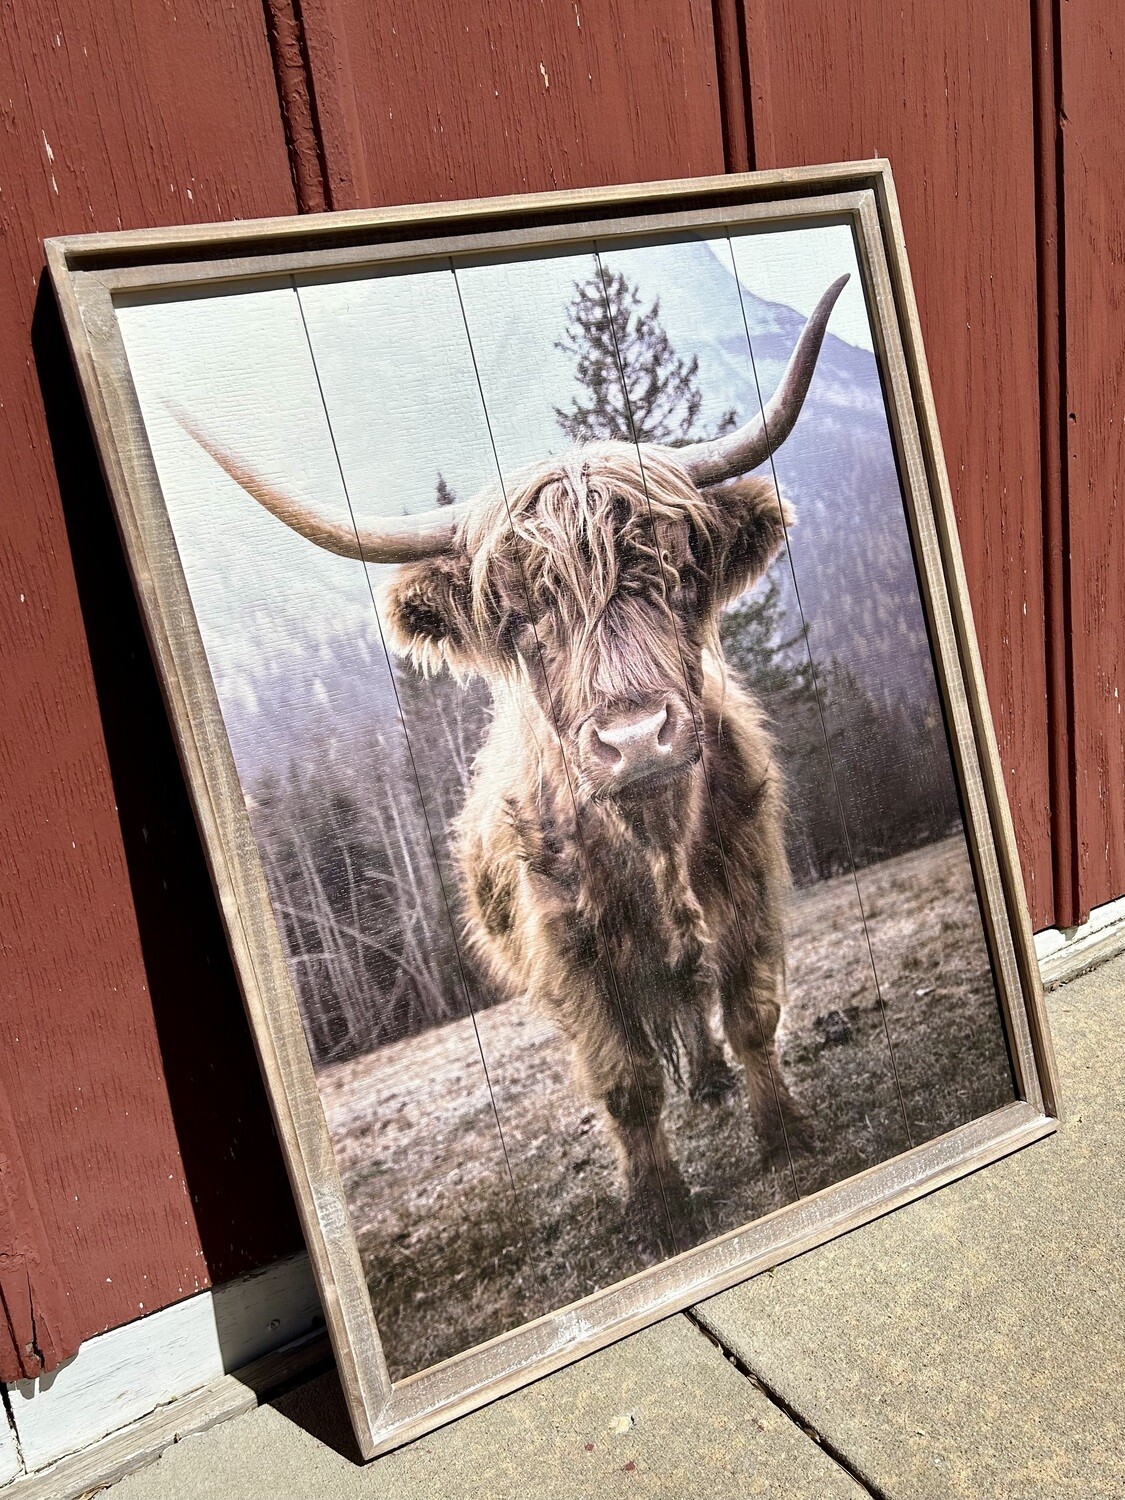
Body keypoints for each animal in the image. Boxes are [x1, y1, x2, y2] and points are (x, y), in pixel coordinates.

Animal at [182, 273, 847, 1250]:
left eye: (680, 579)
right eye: (522, 619)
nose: (636, 738)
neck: (652, 843)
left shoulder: (749, 881)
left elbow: (751, 1015)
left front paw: (787, 1134)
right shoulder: (565, 953)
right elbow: (625, 1081)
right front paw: (659, 1209)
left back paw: (714, 1082)